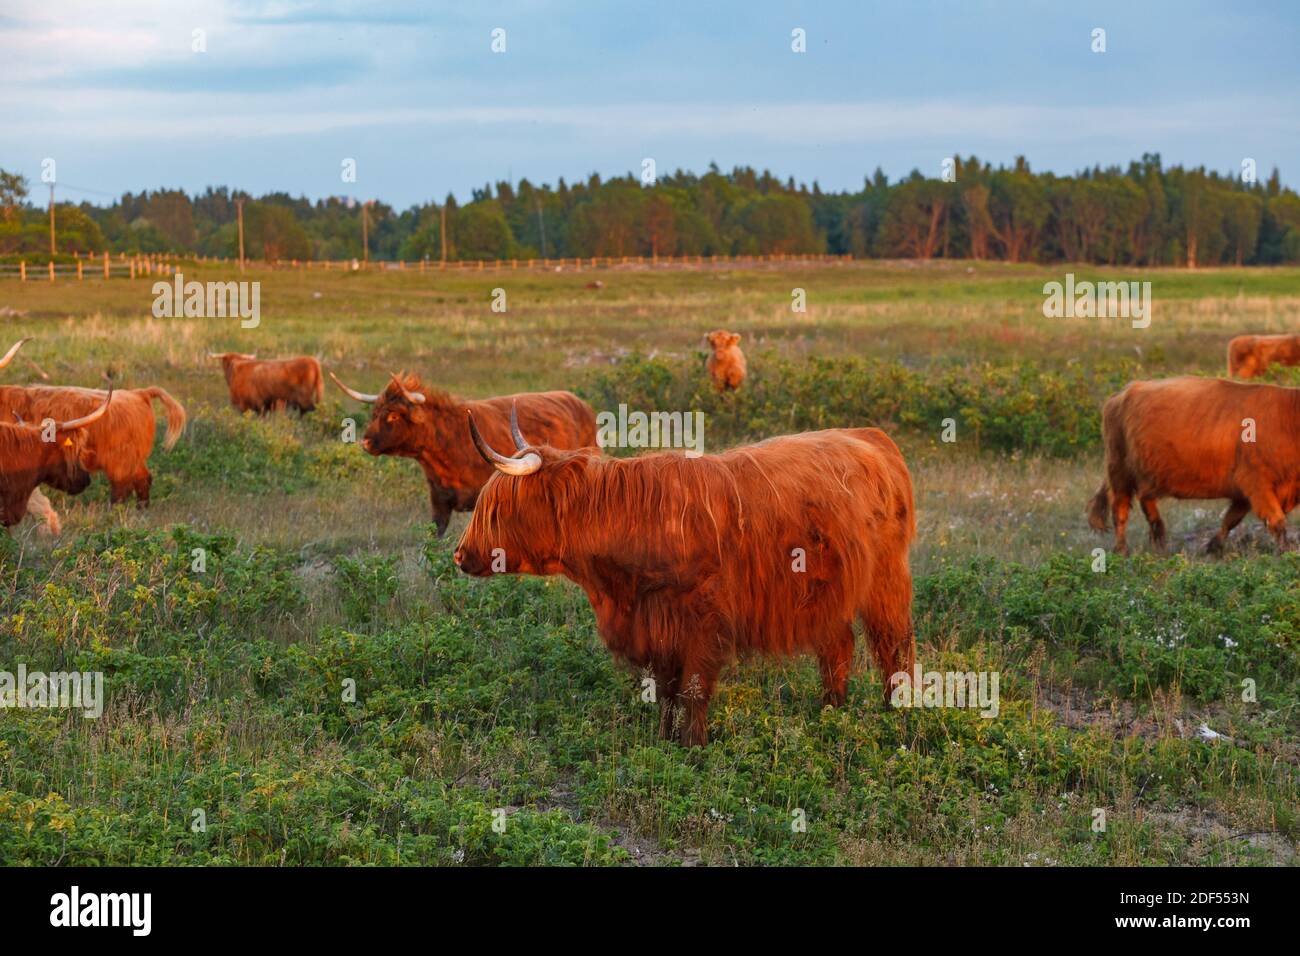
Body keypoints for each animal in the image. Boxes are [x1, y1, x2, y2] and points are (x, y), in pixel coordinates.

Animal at [454, 411, 916, 746]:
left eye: (497, 508)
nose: (460, 554)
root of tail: (869, 436)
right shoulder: (656, 625)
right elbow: (665, 689)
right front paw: (664, 739)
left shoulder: (702, 619)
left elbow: (692, 688)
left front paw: (694, 746)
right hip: (830, 593)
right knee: (838, 647)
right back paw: (830, 711)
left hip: (886, 580)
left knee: (893, 645)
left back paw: (896, 713)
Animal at [1088, 376, 1300, 555]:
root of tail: (1124, 391)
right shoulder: (1256, 482)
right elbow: (1276, 520)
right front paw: (1286, 550)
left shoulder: (1246, 491)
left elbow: (1231, 519)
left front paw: (1213, 546)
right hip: (1118, 469)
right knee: (1120, 510)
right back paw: (1121, 550)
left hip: (1145, 473)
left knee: (1146, 502)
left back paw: (1160, 542)